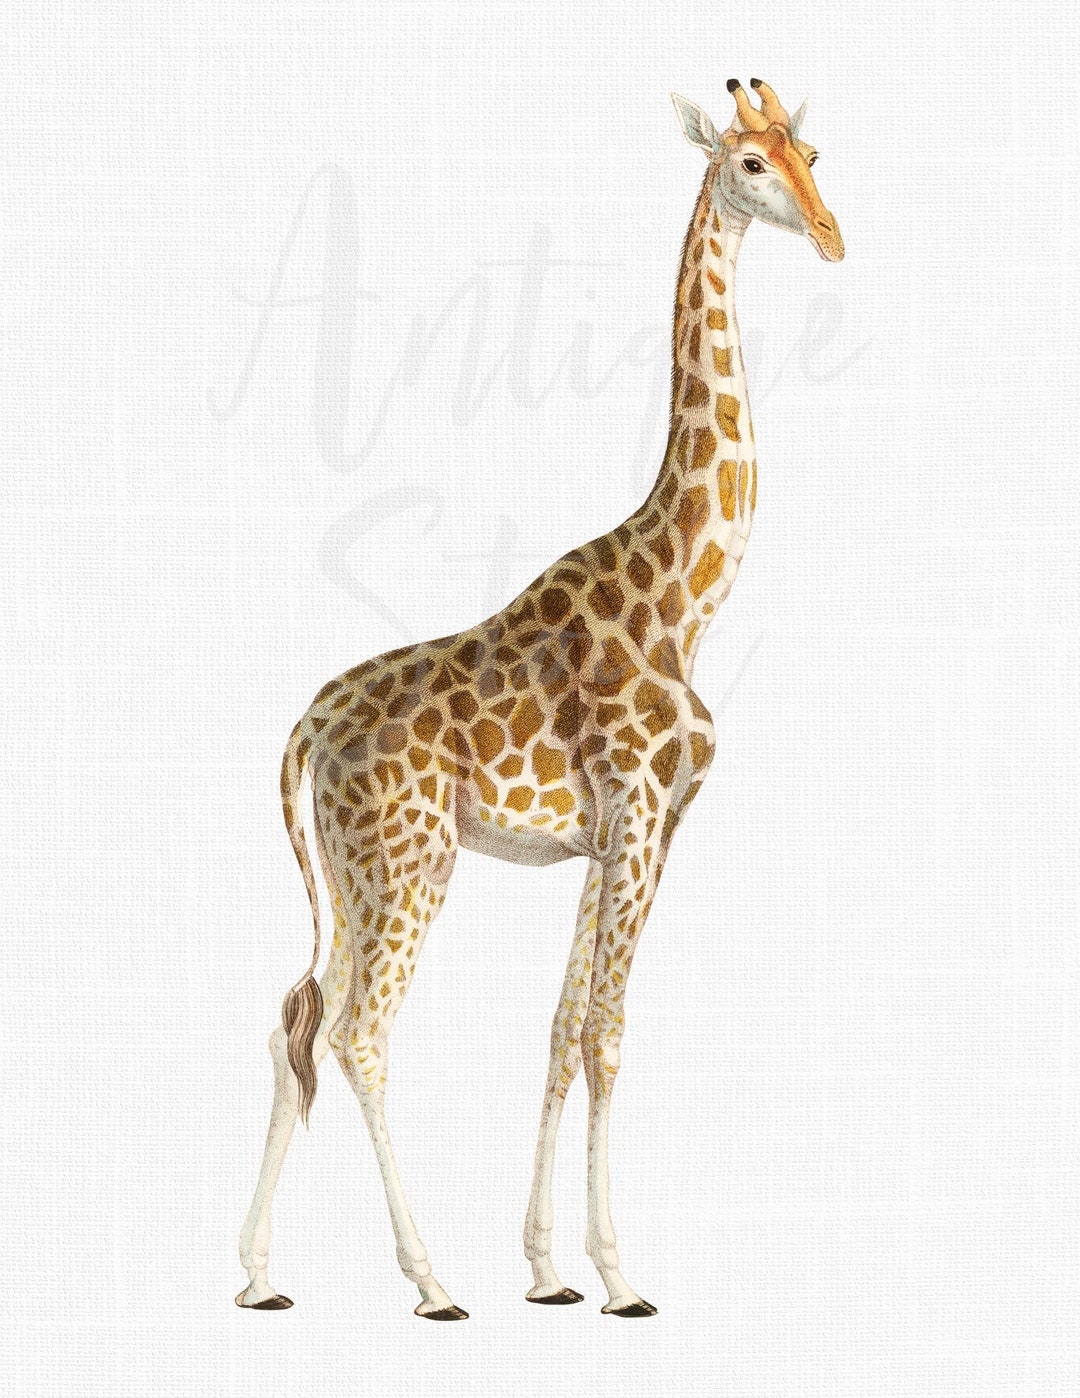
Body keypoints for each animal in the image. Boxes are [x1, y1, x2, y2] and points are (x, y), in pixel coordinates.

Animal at [237, 78, 843, 1321]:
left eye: (813, 155)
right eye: (749, 164)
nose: (829, 234)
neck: (684, 597)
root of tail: (308, 725)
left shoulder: (610, 839)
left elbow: (562, 1030)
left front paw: (551, 1268)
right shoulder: (647, 819)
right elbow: (607, 1034)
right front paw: (618, 1276)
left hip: (355, 863)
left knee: (296, 1022)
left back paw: (261, 1277)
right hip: (414, 858)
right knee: (361, 1034)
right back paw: (429, 1282)